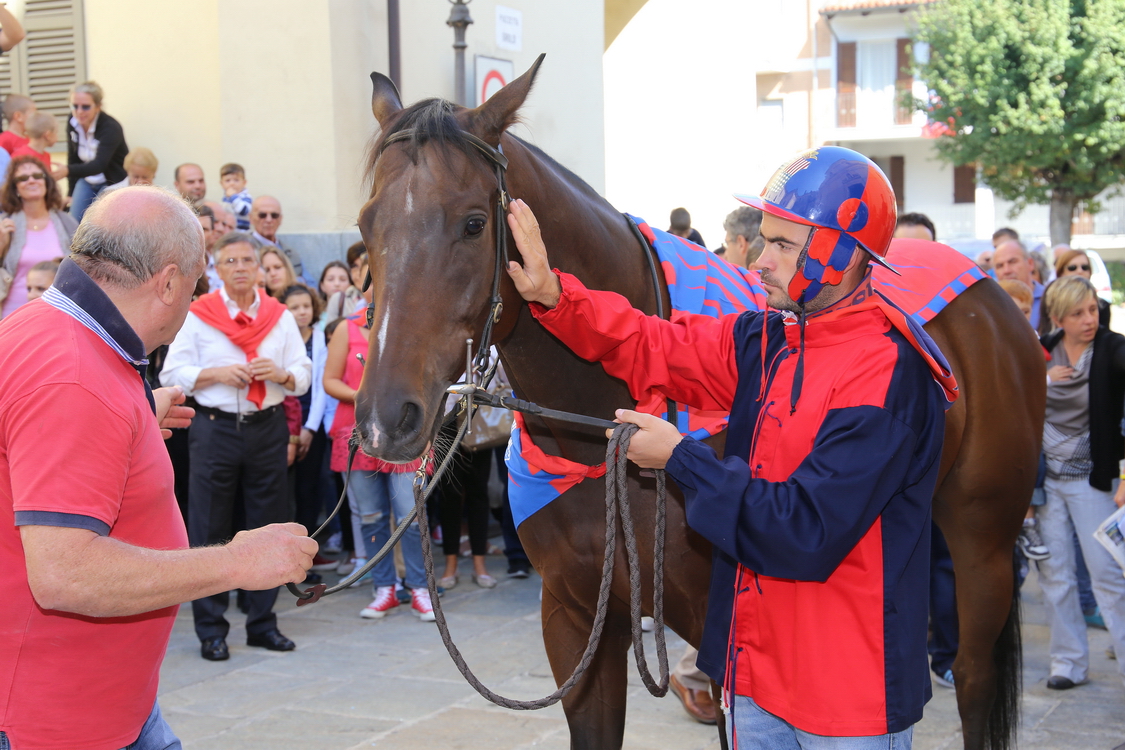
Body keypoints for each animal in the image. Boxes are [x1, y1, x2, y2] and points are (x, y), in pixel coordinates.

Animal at [351, 58, 1044, 750]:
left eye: (473, 222)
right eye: (365, 223)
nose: (385, 419)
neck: (597, 438)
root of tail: (991, 291)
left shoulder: (722, 638)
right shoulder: (577, 621)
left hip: (982, 539)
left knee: (974, 676)